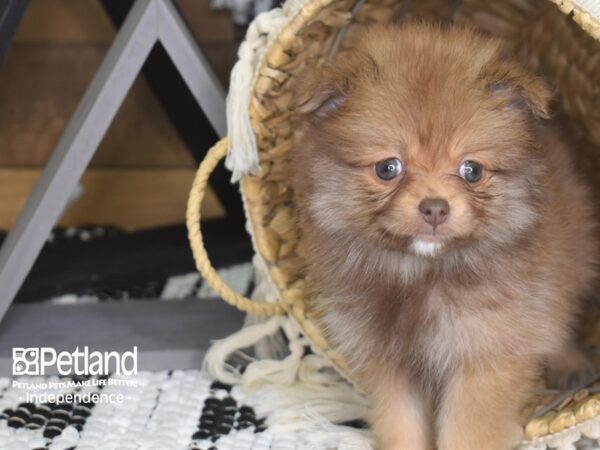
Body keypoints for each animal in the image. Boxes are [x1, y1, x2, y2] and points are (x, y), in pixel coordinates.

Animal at [290, 24, 596, 450]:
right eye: (388, 168)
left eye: (472, 170)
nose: (435, 207)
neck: (421, 275)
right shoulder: (392, 365)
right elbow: (401, 427)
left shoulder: (483, 354)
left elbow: (466, 434)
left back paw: (572, 364)